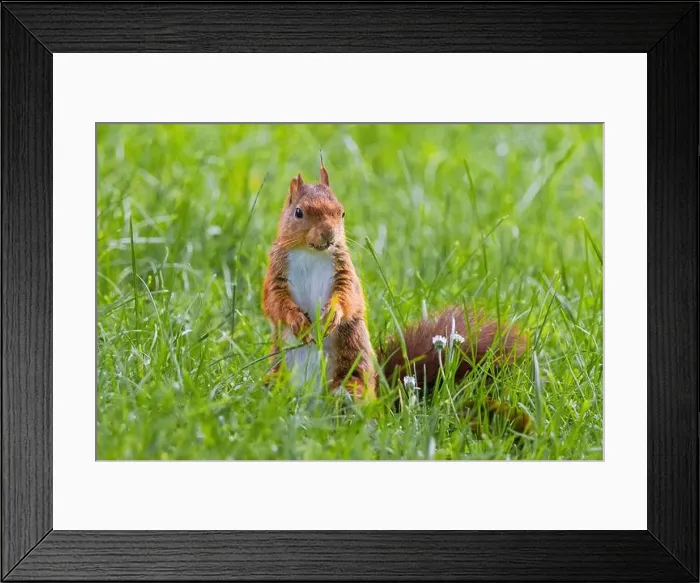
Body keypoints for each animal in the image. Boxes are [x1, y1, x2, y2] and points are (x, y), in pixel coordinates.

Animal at [262, 161, 532, 433]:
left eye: (342, 213)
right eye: (298, 212)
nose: (329, 235)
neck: (311, 253)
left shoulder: (345, 273)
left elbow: (348, 297)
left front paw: (332, 315)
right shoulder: (275, 273)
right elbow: (274, 302)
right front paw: (296, 320)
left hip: (352, 373)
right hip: (277, 375)